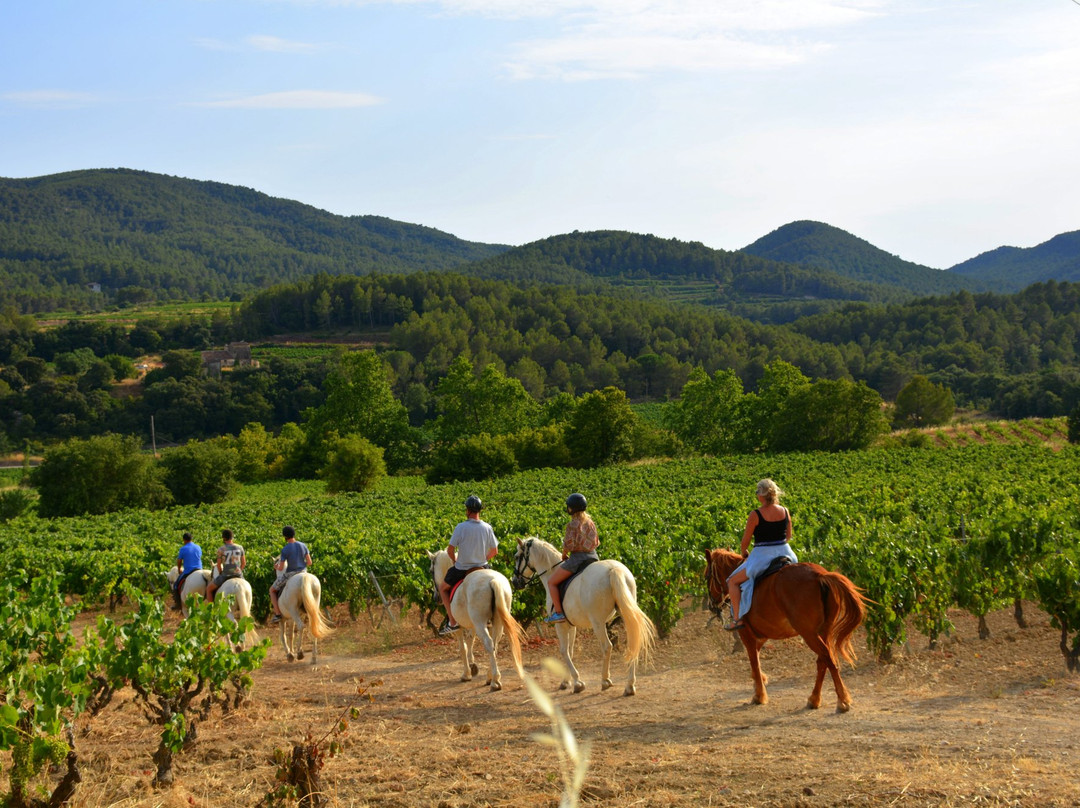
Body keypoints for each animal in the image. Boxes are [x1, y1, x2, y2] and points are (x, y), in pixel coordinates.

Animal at [429, 553, 527, 691]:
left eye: (431, 571)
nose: (435, 597)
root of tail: (493, 580)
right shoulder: (473, 625)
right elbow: (470, 641)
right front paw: (473, 666)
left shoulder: (459, 627)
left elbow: (463, 648)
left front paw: (466, 674)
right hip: (497, 622)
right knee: (494, 644)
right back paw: (490, 677)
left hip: (480, 624)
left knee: (489, 643)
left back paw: (495, 681)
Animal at [514, 535, 656, 695]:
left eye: (517, 557)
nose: (515, 582)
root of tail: (613, 569)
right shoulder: (571, 625)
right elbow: (570, 651)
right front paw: (567, 681)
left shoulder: (560, 624)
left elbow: (564, 651)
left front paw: (577, 682)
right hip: (626, 615)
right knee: (633, 643)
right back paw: (629, 686)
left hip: (598, 623)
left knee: (607, 646)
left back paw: (605, 681)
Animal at [699, 548, 868, 712]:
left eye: (707, 576)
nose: (711, 605)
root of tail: (820, 576)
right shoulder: (763, 633)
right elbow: (756, 658)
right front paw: (760, 680)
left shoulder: (746, 633)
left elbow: (754, 659)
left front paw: (759, 695)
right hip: (823, 632)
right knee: (822, 661)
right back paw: (814, 699)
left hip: (809, 634)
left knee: (828, 659)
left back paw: (842, 700)